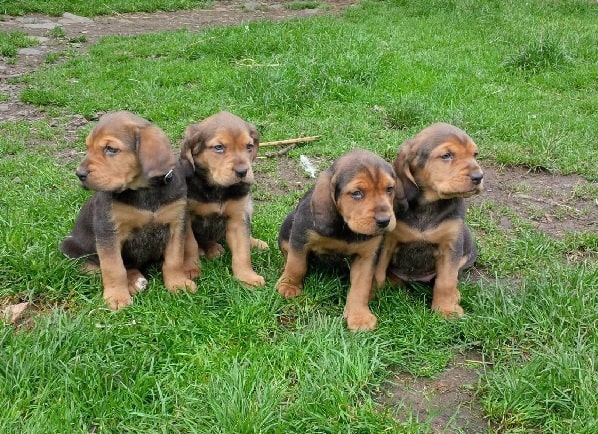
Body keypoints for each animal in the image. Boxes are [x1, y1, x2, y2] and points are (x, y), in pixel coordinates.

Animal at [61, 111, 197, 308]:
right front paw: (117, 297)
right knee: (101, 267)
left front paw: (178, 284)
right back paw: (133, 282)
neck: (144, 190)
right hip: (70, 248)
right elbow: (114, 268)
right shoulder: (108, 231)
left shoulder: (176, 224)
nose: (80, 174)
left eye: (111, 149)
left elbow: (174, 260)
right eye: (87, 147)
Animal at [180, 110, 270, 286]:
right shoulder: (186, 216)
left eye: (249, 146)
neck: (218, 189)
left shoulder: (238, 216)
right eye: (219, 147)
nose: (242, 172)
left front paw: (247, 277)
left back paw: (255, 242)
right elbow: (190, 245)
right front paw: (191, 270)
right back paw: (211, 248)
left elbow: (242, 251)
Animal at [378, 124, 486, 318]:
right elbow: (378, 271)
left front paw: (446, 309)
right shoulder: (387, 242)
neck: (429, 205)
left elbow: (446, 281)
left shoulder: (451, 245)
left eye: (475, 154)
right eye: (446, 155)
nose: (478, 177)